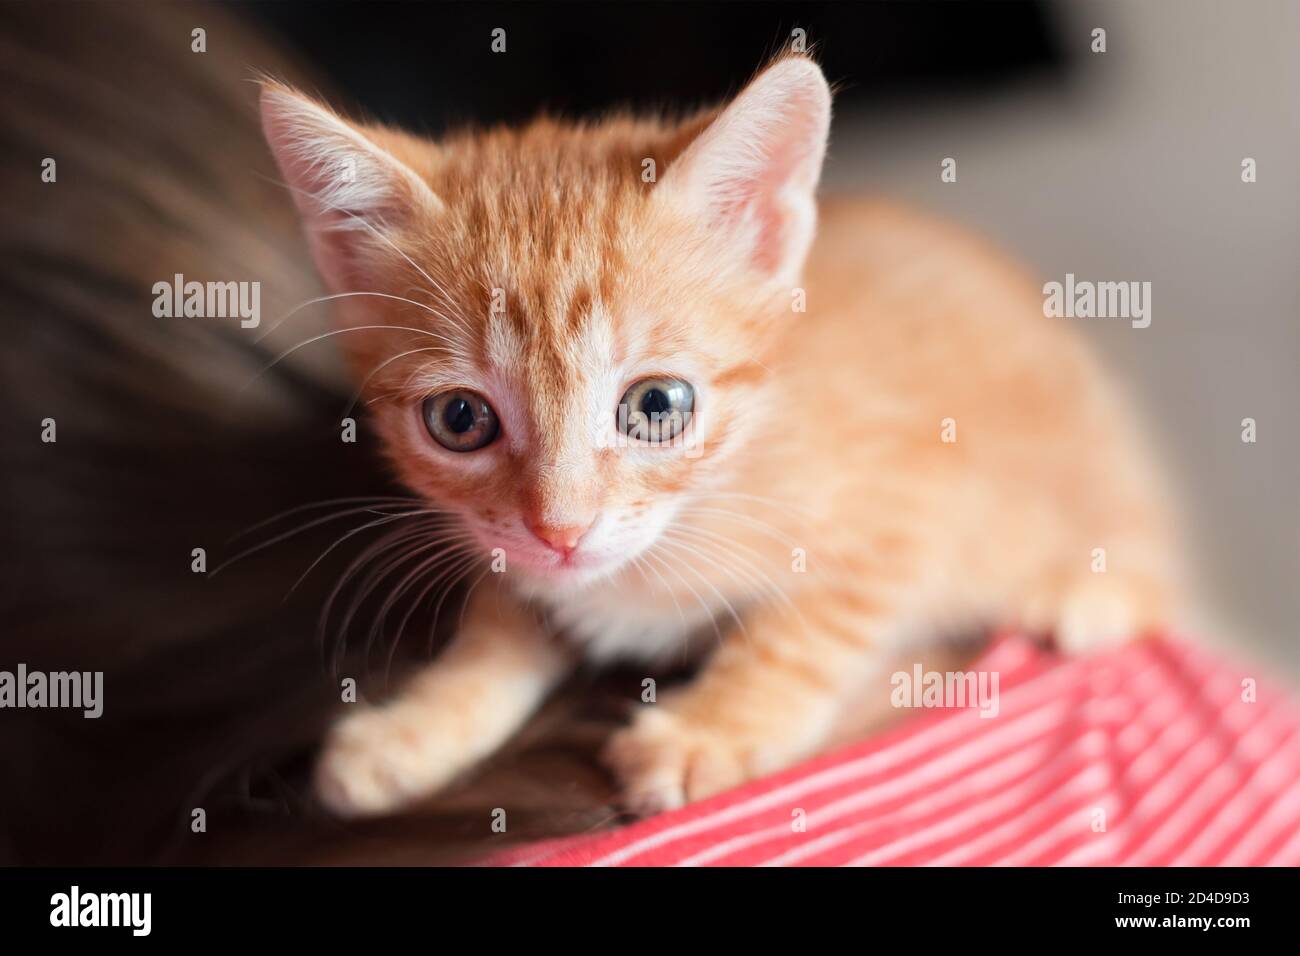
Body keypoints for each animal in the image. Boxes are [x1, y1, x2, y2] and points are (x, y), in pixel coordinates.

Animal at [258, 54, 1185, 816]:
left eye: (656, 406)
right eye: (459, 419)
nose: (560, 531)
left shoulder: (909, 509)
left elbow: (802, 632)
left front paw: (706, 731)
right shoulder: (520, 558)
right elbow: (502, 623)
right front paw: (416, 726)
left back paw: (1091, 590)